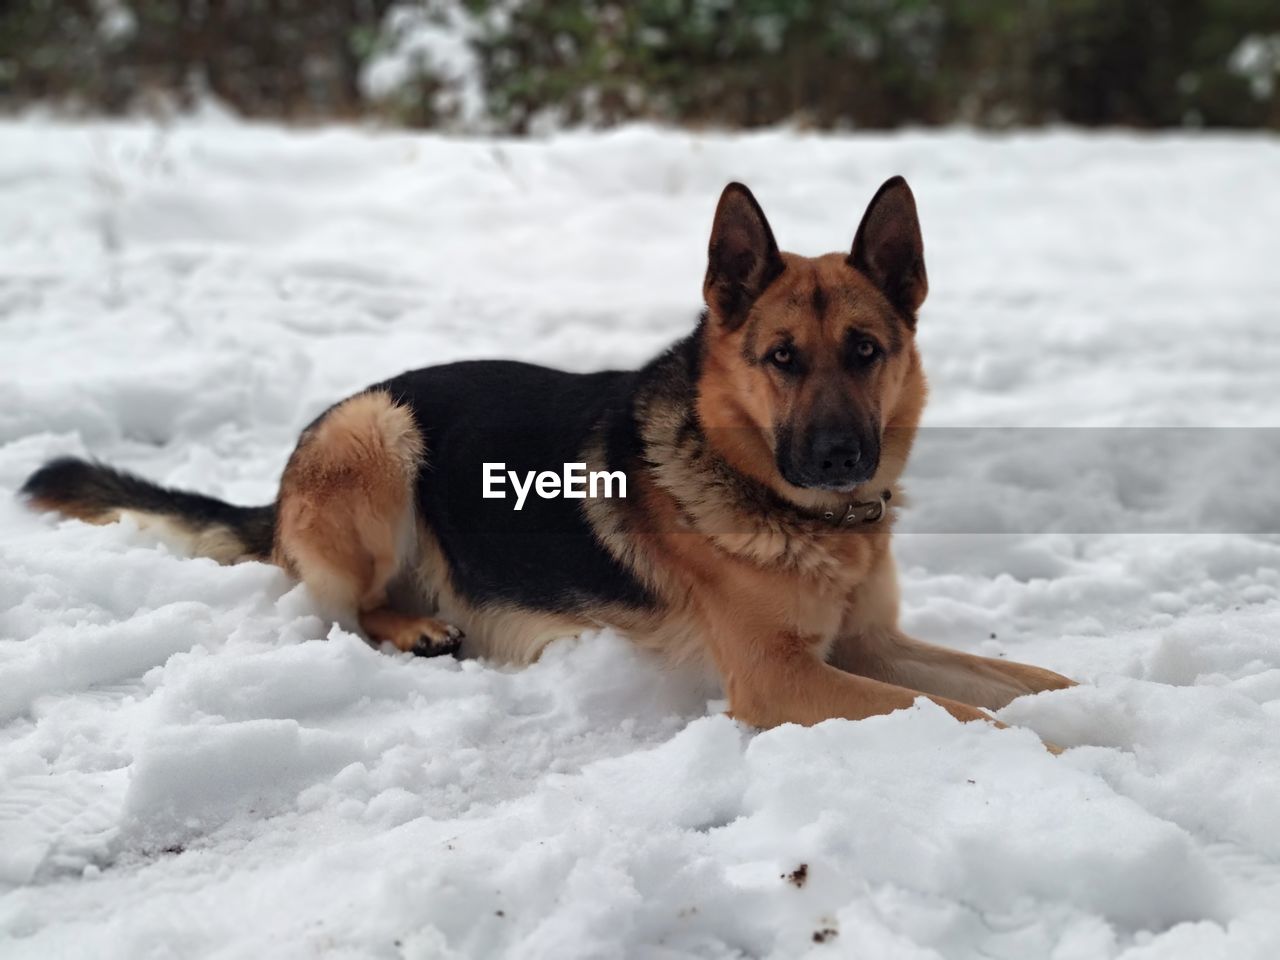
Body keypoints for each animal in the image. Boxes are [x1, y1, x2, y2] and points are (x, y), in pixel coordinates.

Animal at [20, 179, 1075, 737]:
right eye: (781, 359)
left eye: (865, 351)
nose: (840, 457)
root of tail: (281, 487)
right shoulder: (784, 679)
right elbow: (967, 715)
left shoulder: (871, 643)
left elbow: (1026, 681)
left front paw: (1099, 711)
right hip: (378, 433)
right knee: (345, 608)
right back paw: (416, 626)